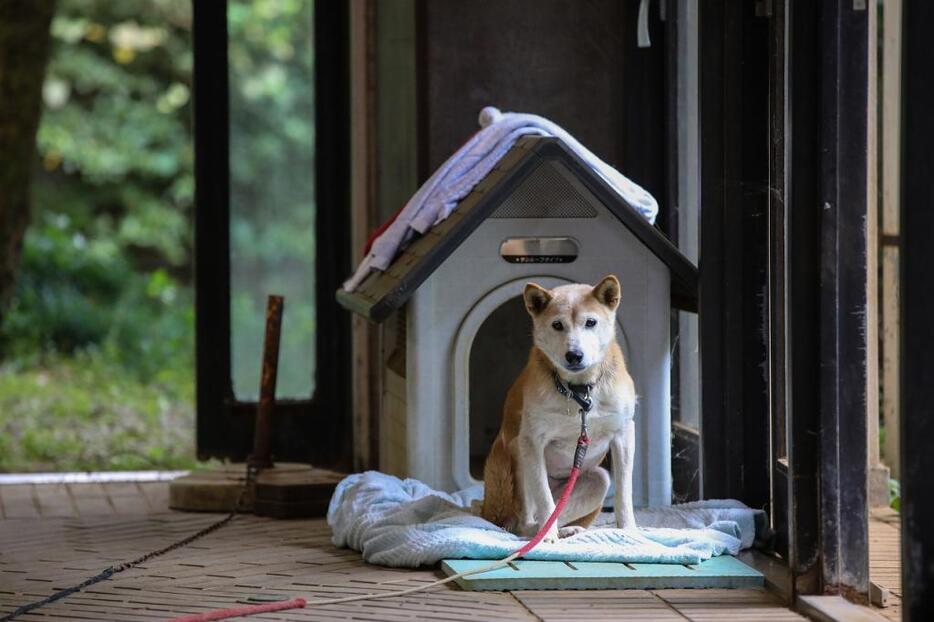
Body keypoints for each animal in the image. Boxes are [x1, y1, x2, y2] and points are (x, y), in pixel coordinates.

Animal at [482, 276, 636, 544]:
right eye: (557, 325)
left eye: (591, 322)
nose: (574, 355)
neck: (580, 391)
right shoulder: (532, 441)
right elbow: (544, 498)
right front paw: (547, 538)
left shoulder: (624, 433)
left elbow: (624, 494)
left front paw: (629, 531)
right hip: (518, 458)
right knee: (524, 522)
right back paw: (543, 532)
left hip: (597, 480)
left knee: (558, 509)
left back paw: (568, 530)